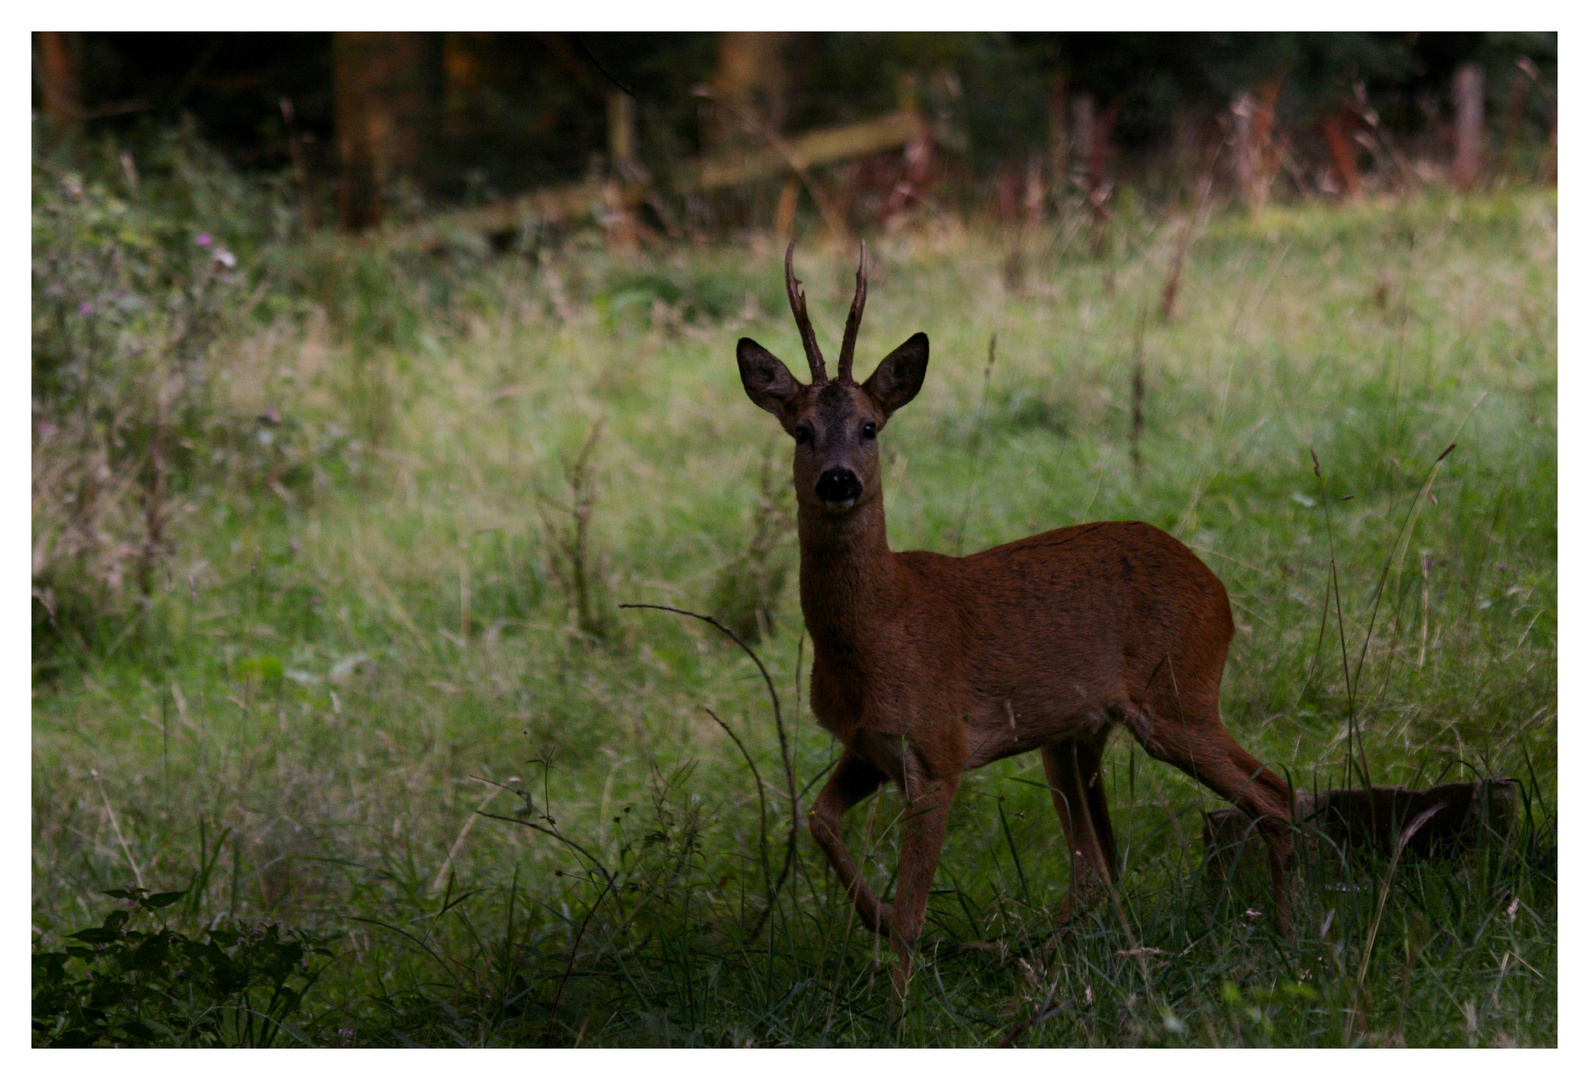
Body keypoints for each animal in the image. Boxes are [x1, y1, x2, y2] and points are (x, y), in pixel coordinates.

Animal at [737, 243, 1296, 984]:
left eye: (869, 426)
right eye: (800, 430)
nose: (837, 480)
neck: (878, 630)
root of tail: (1215, 584)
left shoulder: (938, 749)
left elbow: (913, 907)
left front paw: (898, 996)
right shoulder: (867, 745)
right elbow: (818, 821)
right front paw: (876, 921)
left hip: (1178, 692)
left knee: (1274, 794)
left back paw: (1291, 936)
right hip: (1075, 733)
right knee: (1096, 865)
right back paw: (1036, 967)